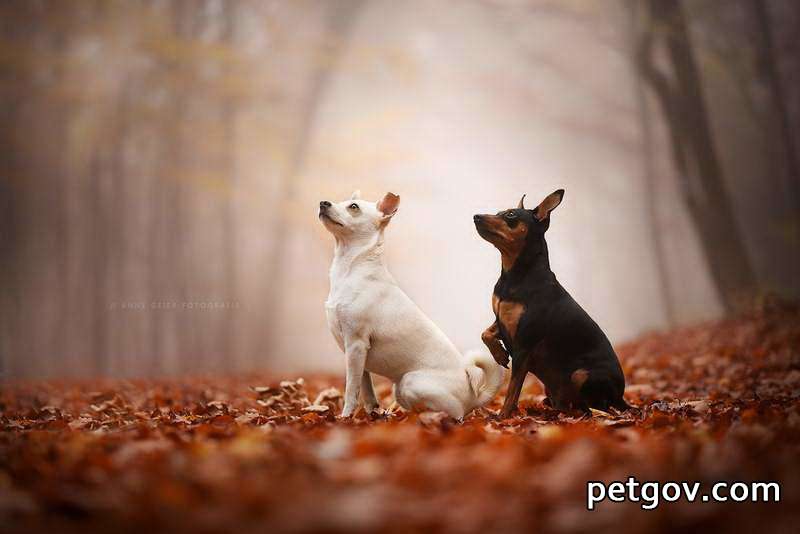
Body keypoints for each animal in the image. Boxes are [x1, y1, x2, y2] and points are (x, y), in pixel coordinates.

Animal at [318, 191, 500, 420]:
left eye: (353, 207)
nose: (323, 203)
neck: (350, 266)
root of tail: (474, 398)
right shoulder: (356, 354)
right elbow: (366, 389)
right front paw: (371, 415)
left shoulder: (356, 345)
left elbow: (351, 388)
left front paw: (345, 417)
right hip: (400, 388)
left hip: (409, 382)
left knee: (451, 414)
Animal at [472, 191, 628, 420]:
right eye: (499, 212)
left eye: (510, 215)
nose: (476, 216)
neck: (517, 275)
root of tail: (622, 397)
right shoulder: (502, 320)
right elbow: (485, 334)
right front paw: (499, 354)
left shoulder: (523, 346)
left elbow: (512, 391)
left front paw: (502, 418)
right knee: (570, 404)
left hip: (581, 375)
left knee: (599, 407)